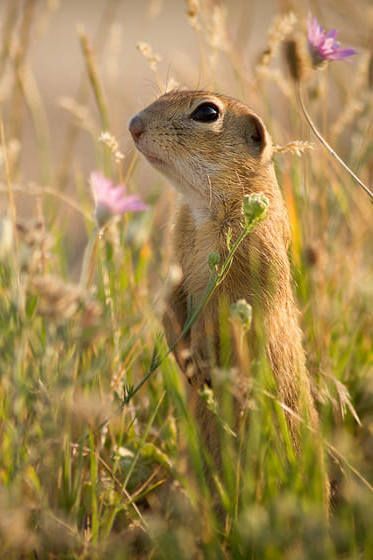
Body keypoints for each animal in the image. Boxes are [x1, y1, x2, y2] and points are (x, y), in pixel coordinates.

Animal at [129, 91, 326, 504]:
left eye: (207, 112)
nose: (134, 124)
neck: (204, 210)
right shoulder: (177, 257)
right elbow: (170, 299)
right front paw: (181, 354)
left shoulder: (245, 267)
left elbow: (218, 315)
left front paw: (199, 360)